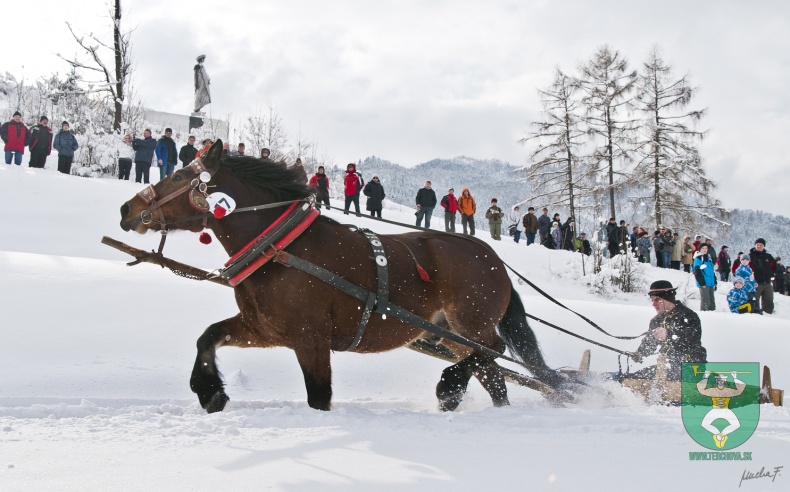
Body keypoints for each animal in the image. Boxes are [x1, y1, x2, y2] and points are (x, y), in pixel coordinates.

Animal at [119, 141, 568, 412]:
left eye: (179, 176)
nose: (127, 210)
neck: (281, 248)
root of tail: (492, 256)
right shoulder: (263, 328)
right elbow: (207, 337)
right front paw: (211, 393)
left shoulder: (310, 337)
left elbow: (319, 397)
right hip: (450, 334)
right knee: (494, 376)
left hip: (472, 324)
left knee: (492, 351)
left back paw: (449, 388)